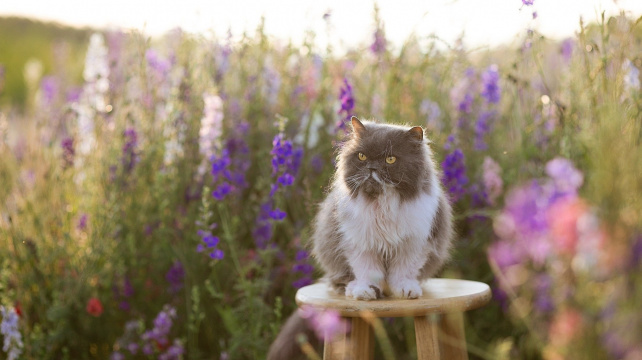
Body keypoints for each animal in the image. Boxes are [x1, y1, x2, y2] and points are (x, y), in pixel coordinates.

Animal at [268, 117, 452, 360]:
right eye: (362, 156)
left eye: (390, 159)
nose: (372, 167)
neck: (381, 204)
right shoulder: (359, 245)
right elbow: (368, 271)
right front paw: (366, 292)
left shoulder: (414, 244)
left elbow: (402, 271)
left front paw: (405, 290)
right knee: (340, 281)